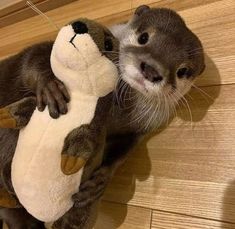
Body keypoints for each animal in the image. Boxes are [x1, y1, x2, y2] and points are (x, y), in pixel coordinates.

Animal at [0, 5, 206, 229]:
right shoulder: (41, 52)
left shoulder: (139, 129)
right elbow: (33, 56)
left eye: (182, 71)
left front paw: (101, 180)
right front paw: (50, 86)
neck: (117, 110)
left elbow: (123, 150)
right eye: (143, 37)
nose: (152, 70)